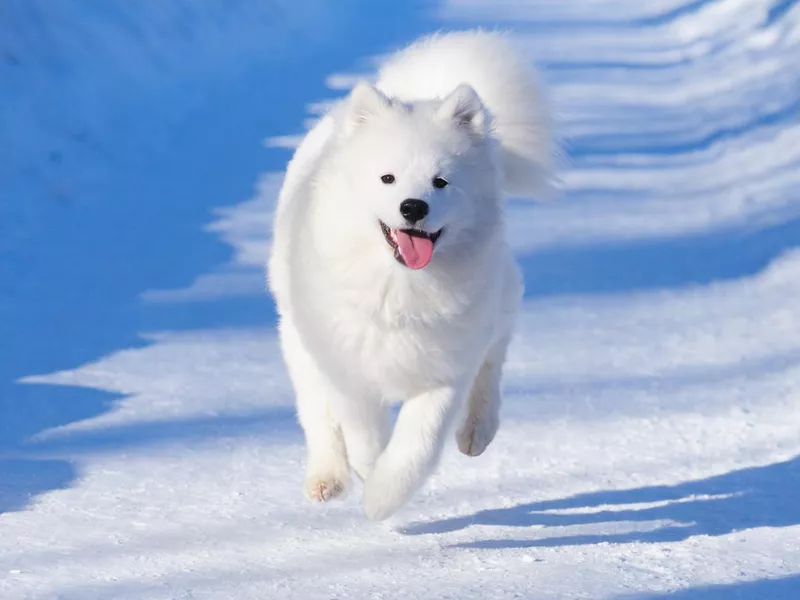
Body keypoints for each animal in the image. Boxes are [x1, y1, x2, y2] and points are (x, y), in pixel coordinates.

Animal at [268, 29, 552, 520]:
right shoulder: (350, 372)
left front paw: (382, 500)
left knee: (492, 361)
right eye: (388, 178)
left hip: (496, 305)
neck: (400, 288)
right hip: (299, 339)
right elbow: (364, 439)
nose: (413, 207)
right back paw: (327, 479)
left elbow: (415, 450)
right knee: (317, 412)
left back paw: (476, 431)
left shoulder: (442, 375)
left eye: (441, 181)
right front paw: (368, 480)